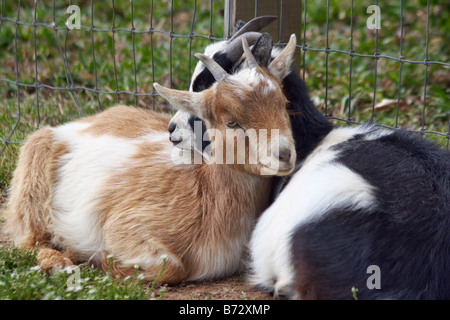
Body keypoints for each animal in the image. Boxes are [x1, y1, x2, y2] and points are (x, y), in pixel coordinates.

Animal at [3, 35, 300, 282]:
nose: (284, 154)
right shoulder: (125, 224)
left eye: (284, 104)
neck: (206, 189)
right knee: (30, 241)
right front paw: (101, 260)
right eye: (231, 121)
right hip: (33, 181)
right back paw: (59, 263)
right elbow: (170, 266)